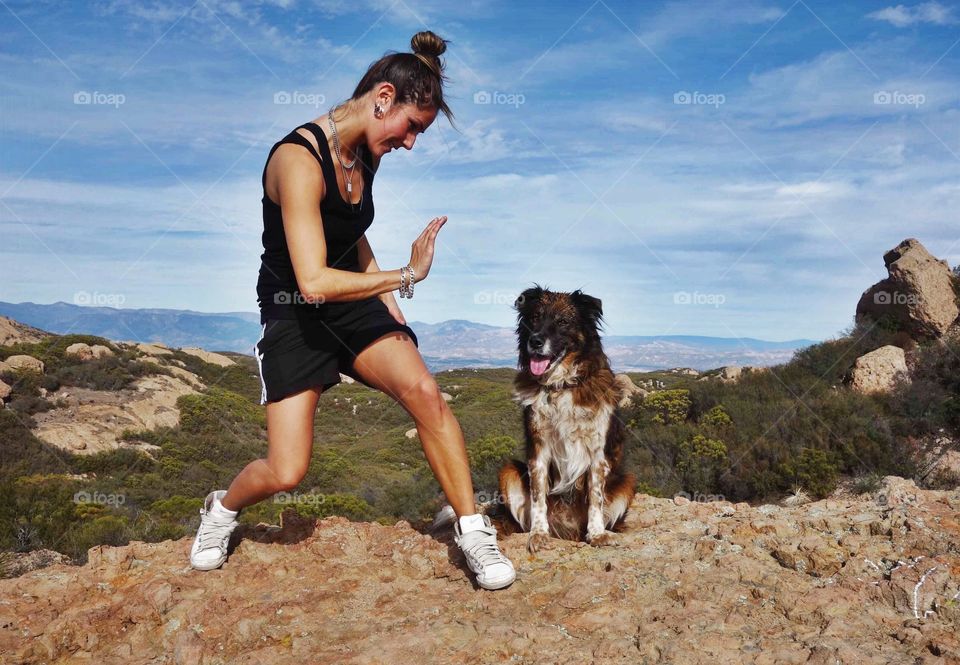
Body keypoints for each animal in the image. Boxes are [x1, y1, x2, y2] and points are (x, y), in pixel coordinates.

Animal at [496, 286, 636, 548]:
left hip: (627, 481)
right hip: (508, 471)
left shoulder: (598, 453)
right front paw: (539, 533)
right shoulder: (539, 448)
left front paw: (597, 533)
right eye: (535, 318)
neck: (561, 385)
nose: (535, 341)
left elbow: (595, 497)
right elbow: (539, 495)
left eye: (563, 322)